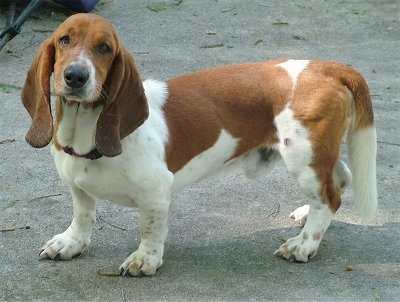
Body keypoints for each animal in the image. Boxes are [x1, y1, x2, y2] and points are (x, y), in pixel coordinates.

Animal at [21, 15, 378, 278]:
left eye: (104, 48)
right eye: (64, 40)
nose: (76, 76)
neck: (87, 133)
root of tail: (326, 67)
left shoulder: (156, 194)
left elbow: (149, 228)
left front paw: (144, 260)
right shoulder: (77, 187)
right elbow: (82, 213)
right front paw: (70, 243)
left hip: (302, 155)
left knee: (329, 199)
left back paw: (303, 245)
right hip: (315, 154)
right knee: (339, 179)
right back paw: (307, 216)